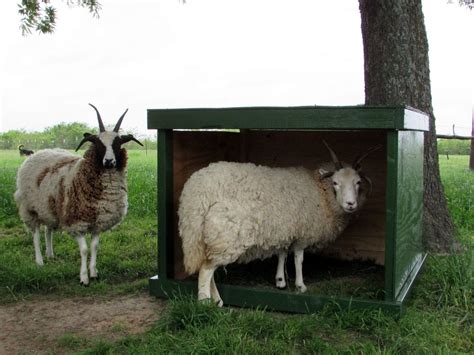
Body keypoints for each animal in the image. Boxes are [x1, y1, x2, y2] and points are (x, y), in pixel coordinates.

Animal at [14, 104, 143, 286]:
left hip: (49, 205)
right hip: (30, 208)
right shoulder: (77, 221)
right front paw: (84, 278)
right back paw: (39, 261)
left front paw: (94, 273)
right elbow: (84, 250)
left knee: (48, 230)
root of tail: (38, 153)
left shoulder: (98, 222)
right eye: (98, 143)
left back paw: (50, 254)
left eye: (117, 143)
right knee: (36, 234)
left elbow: (95, 247)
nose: (109, 161)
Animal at [177, 142, 378, 306]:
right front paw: (300, 285)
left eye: (358, 182)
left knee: (207, 266)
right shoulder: (304, 233)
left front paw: (280, 280)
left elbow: (282, 253)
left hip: (206, 238)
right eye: (335, 182)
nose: (351, 204)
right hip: (225, 236)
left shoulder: (285, 229)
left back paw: (216, 301)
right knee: (206, 270)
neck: (320, 190)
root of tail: (195, 195)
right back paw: (205, 304)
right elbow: (298, 258)